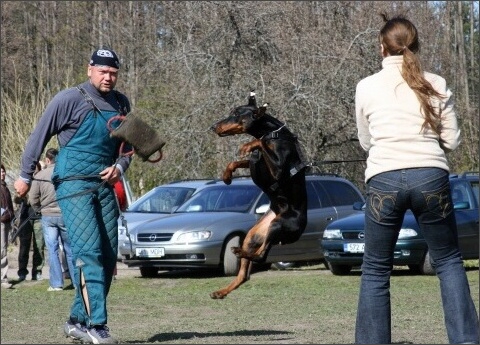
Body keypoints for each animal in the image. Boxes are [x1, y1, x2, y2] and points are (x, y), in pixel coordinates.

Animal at [209, 91, 308, 298]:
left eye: (236, 113)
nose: (213, 126)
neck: (273, 134)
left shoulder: (278, 171)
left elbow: (259, 142)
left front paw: (248, 145)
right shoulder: (255, 162)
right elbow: (236, 162)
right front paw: (227, 176)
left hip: (278, 224)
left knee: (261, 256)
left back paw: (238, 252)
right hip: (254, 234)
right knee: (244, 275)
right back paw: (222, 291)